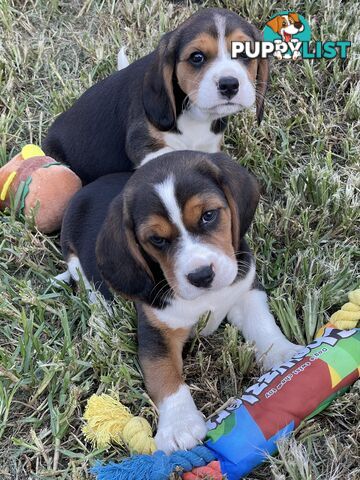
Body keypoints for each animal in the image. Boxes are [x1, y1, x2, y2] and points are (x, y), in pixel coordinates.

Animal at [43, 7, 268, 184]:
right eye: (197, 57)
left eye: (245, 53)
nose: (229, 84)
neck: (196, 114)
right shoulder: (142, 144)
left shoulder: (209, 145)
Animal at [59, 151, 300, 454]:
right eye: (157, 239)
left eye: (208, 216)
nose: (202, 275)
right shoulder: (156, 331)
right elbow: (164, 374)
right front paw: (178, 425)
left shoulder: (246, 289)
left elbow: (262, 324)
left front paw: (284, 354)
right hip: (75, 258)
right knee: (89, 288)